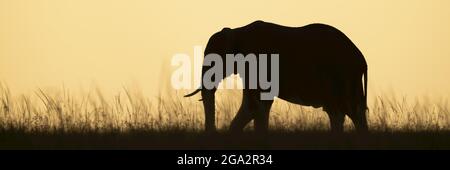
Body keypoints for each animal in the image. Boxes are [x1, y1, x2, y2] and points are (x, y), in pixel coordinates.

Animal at [185, 20, 368, 133]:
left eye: (213, 60)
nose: (213, 131)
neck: (237, 31)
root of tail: (362, 59)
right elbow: (257, 106)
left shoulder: (257, 63)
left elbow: (255, 105)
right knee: (344, 112)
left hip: (342, 75)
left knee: (347, 111)